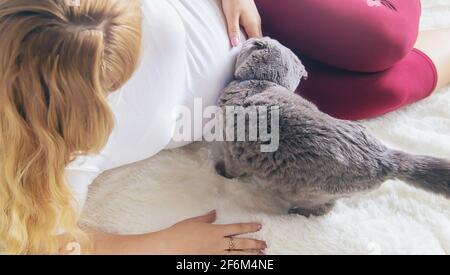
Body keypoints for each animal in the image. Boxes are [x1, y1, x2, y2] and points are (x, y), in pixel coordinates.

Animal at [213, 37, 450, 218]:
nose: (248, 39)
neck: (262, 83)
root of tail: (384, 157)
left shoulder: (234, 150)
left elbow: (232, 169)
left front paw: (220, 171)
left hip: (310, 191)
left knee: (325, 207)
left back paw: (299, 213)